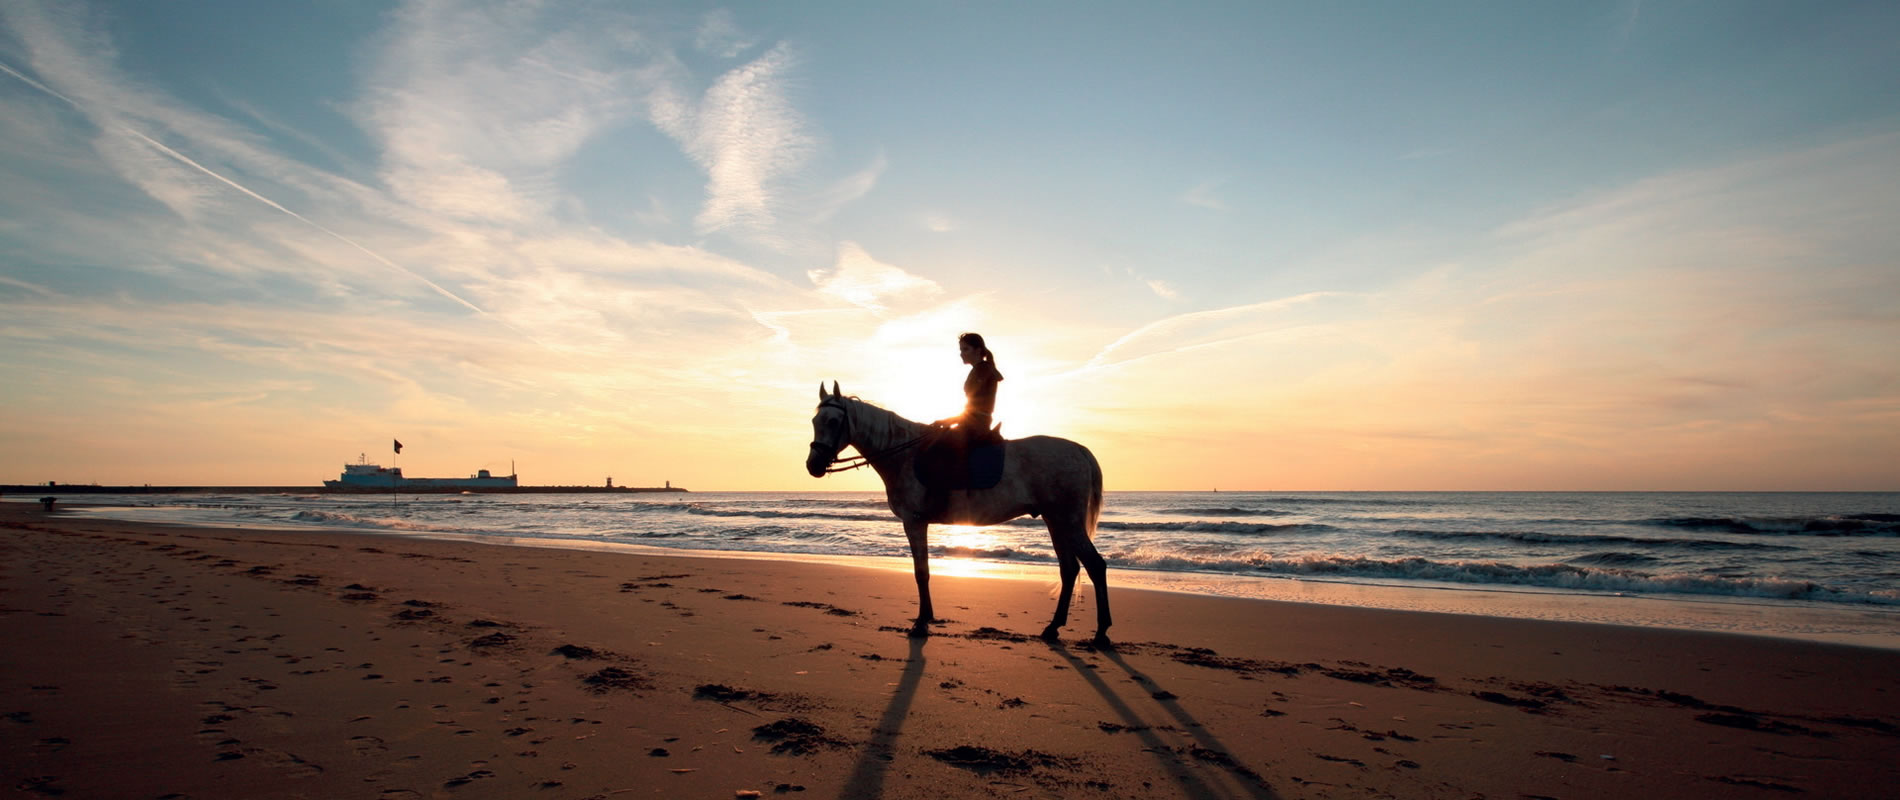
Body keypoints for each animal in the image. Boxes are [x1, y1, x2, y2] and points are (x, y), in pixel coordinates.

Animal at [805, 380, 1109, 642]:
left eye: (833, 421)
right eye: (814, 422)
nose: (813, 466)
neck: (903, 454)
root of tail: (1079, 450)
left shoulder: (914, 522)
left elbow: (921, 572)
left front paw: (921, 622)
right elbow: (923, 571)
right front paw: (925, 618)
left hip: (1067, 521)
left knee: (1095, 565)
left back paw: (1101, 632)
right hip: (1055, 521)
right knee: (1069, 569)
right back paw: (1053, 627)